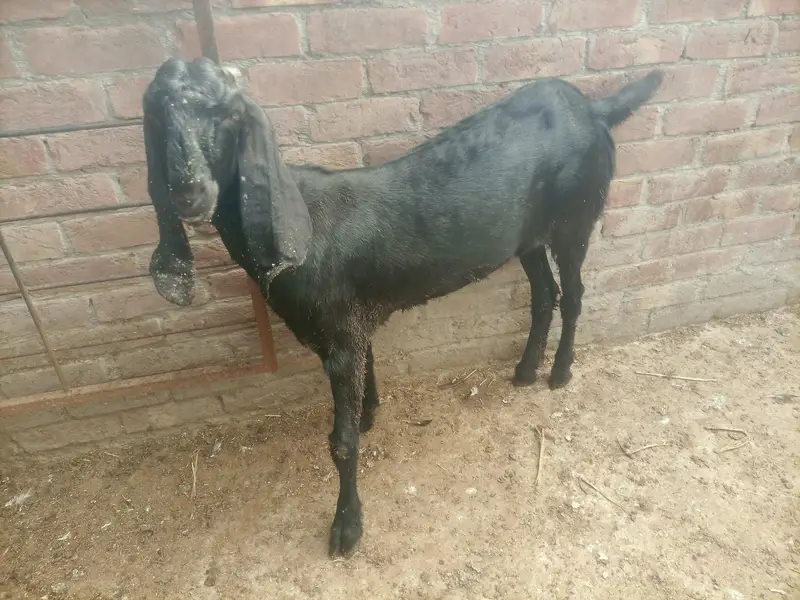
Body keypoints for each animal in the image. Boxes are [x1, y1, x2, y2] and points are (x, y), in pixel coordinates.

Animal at [142, 57, 663, 556]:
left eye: (228, 114)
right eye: (157, 117)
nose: (188, 191)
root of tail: (593, 109)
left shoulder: (340, 336)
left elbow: (341, 443)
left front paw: (347, 528)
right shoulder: (352, 323)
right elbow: (369, 366)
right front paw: (370, 413)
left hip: (576, 216)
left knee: (573, 295)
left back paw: (560, 372)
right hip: (529, 237)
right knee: (544, 295)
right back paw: (525, 369)